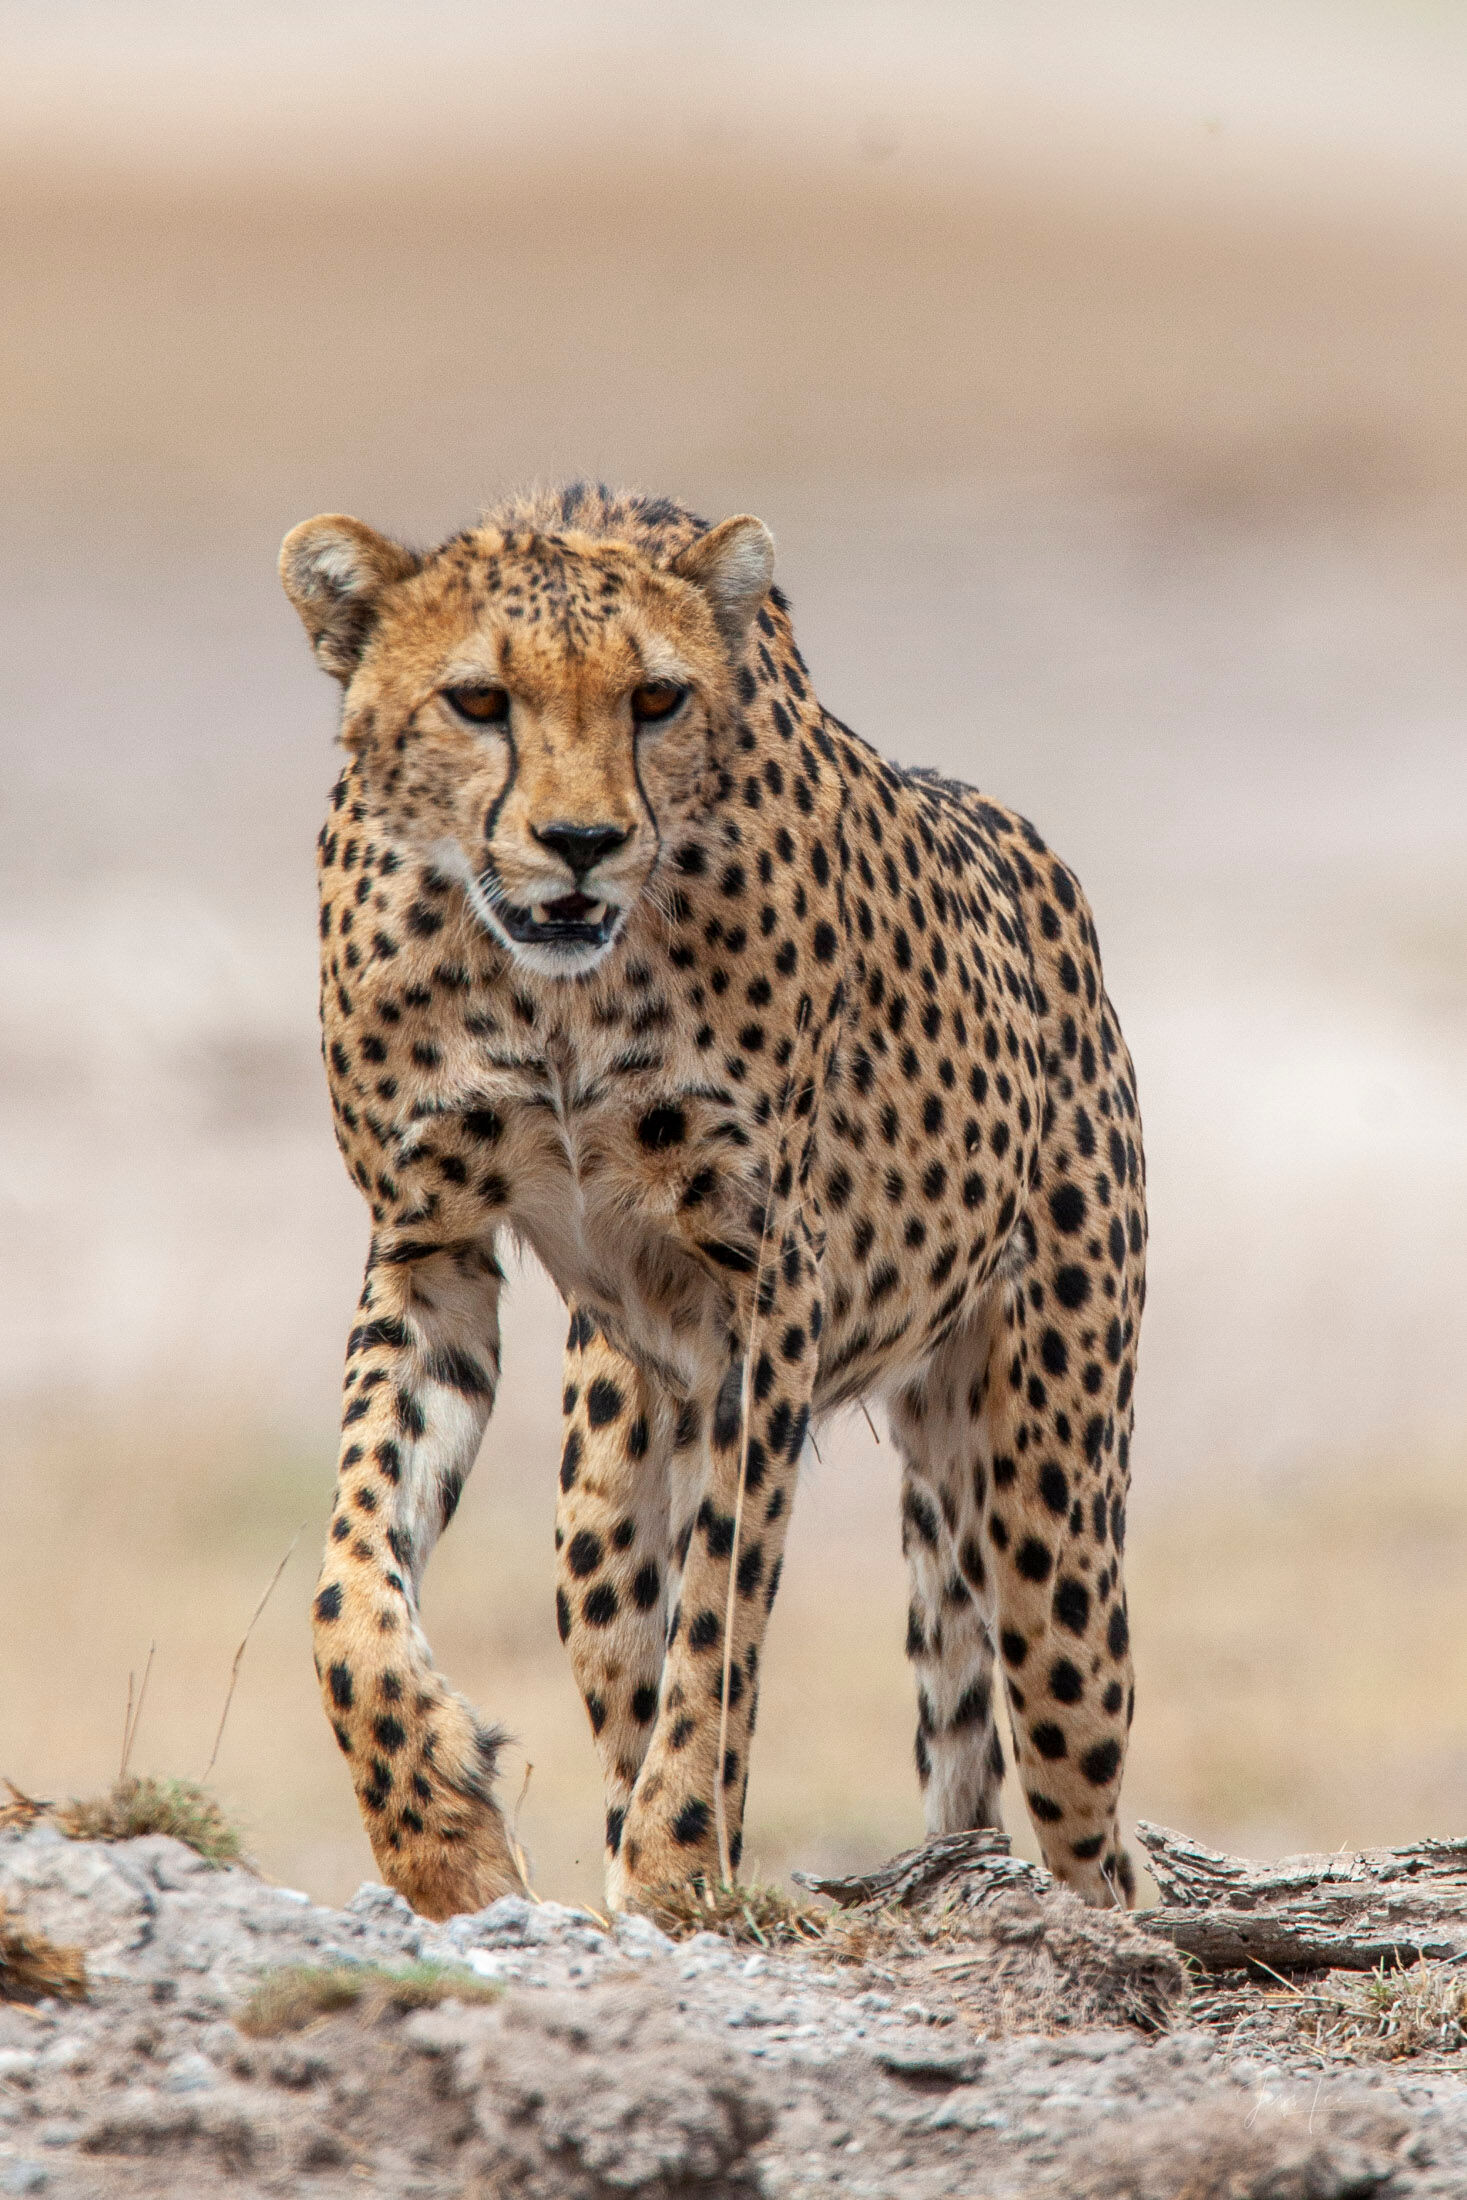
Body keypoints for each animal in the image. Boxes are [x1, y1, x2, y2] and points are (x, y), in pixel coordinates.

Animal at [279, 481, 1145, 1922]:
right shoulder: (430, 1247)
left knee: (1094, 1824)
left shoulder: (766, 1283)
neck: (551, 992)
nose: (580, 845)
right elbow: (349, 1582)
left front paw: (680, 1865)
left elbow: (720, 1622)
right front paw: (442, 1835)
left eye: (655, 699)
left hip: (1049, 1525)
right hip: (604, 1481)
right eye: (477, 700)